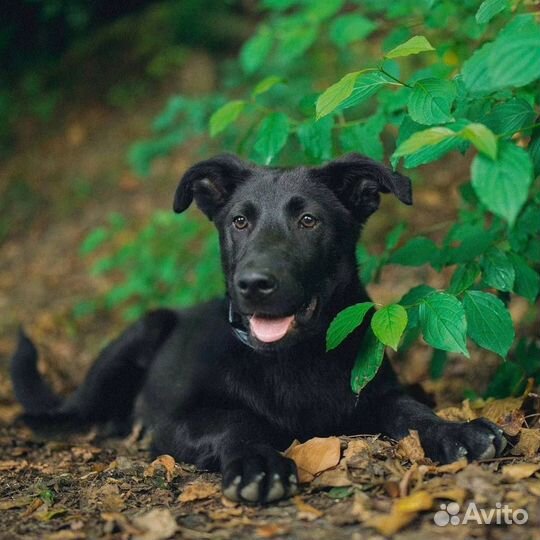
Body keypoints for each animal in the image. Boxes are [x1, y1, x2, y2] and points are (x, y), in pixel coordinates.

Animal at [11, 154, 506, 504]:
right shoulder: (177, 420)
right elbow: (239, 420)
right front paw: (258, 464)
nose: (253, 284)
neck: (292, 360)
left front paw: (454, 431)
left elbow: (410, 410)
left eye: (308, 220)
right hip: (142, 332)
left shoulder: (374, 394)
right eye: (239, 221)